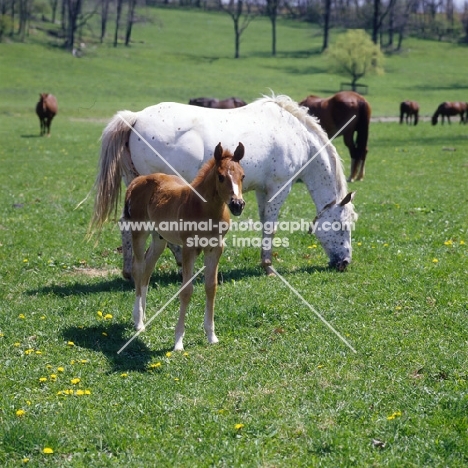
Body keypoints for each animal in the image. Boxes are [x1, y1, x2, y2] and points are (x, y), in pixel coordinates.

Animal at [89, 95, 356, 278]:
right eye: (342, 226)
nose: (345, 263)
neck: (296, 134)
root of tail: (135, 118)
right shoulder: (279, 188)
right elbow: (270, 226)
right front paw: (268, 266)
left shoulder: (262, 191)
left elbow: (264, 223)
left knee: (128, 225)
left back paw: (131, 271)